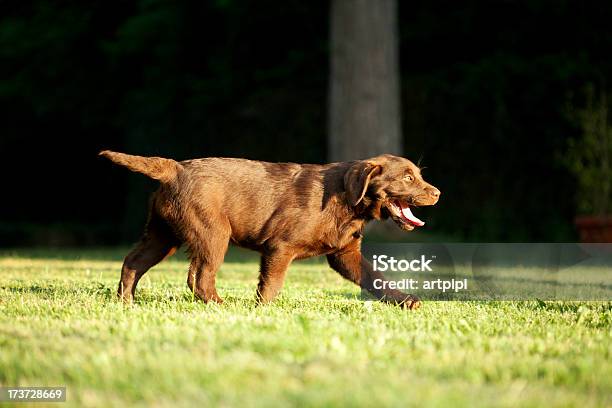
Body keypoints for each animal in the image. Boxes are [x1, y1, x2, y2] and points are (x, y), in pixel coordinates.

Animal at [99, 151, 440, 308]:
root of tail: (174, 168)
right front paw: (263, 309)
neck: (347, 200)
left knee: (134, 262)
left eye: (418, 175)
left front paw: (404, 300)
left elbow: (374, 276)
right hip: (212, 233)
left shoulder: (345, 253)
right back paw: (220, 305)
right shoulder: (280, 246)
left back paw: (125, 301)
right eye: (408, 178)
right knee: (199, 276)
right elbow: (272, 283)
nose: (438, 193)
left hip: (163, 233)